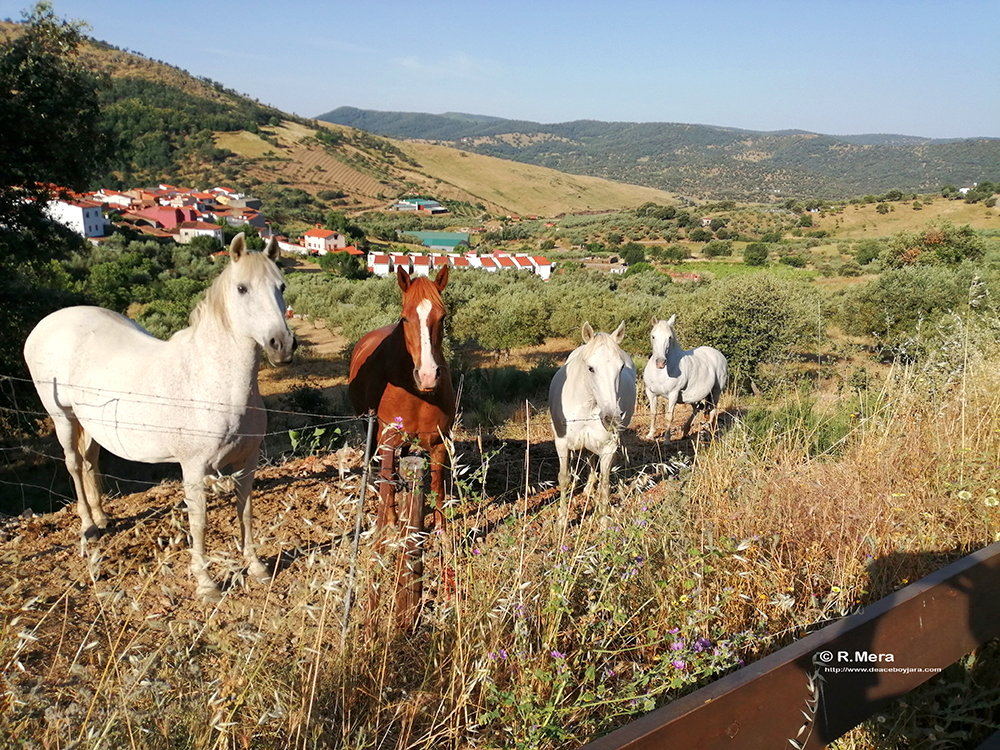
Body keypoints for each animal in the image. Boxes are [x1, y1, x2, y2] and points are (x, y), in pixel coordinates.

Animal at [23, 232, 294, 604]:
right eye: (242, 288)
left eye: (281, 286)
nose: (282, 345)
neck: (213, 380)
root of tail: (46, 324)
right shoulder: (193, 468)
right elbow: (199, 521)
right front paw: (206, 583)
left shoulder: (247, 462)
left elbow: (246, 511)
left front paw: (256, 567)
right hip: (62, 417)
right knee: (74, 464)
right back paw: (88, 527)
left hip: (91, 422)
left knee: (91, 460)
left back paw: (102, 517)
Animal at [346, 268, 452, 532]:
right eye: (405, 319)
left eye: (442, 317)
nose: (427, 375)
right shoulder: (387, 442)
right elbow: (388, 481)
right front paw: (391, 523)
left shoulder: (439, 443)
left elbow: (438, 487)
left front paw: (442, 532)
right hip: (369, 427)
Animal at [552, 320, 636, 520]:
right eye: (590, 368)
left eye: (621, 368)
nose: (611, 418)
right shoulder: (561, 443)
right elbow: (564, 478)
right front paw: (561, 520)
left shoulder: (608, 446)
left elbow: (605, 482)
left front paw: (604, 521)